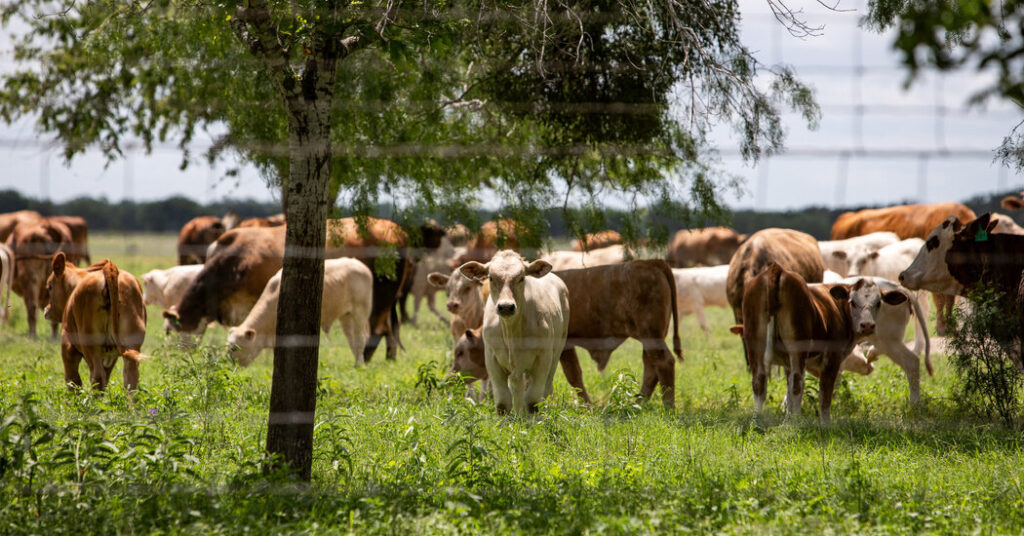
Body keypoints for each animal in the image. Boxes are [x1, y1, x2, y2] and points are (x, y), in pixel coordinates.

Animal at [42, 253, 146, 391]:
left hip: (90, 344)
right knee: (130, 376)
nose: (47, 309)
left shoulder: (67, 347)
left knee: (97, 376)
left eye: (49, 287)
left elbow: (73, 381)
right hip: (131, 344)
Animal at [227, 258, 372, 367]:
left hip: (360, 311)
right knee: (351, 339)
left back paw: (359, 365)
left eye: (234, 348)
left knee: (360, 339)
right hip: (346, 316)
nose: (230, 364)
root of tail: (359, 264)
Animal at [459, 250, 570, 415]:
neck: (512, 333)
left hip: (556, 352)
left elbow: (533, 401)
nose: (506, 306)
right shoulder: (492, 360)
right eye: (491, 277)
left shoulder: (543, 359)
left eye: (522, 277)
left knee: (546, 388)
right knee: (518, 388)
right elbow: (503, 403)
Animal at [735, 263, 906, 422]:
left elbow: (788, 391)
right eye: (853, 302)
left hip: (755, 348)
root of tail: (777, 270)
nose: (867, 326)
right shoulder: (832, 358)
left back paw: (758, 421)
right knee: (798, 384)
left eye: (878, 303)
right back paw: (795, 423)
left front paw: (788, 417)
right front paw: (825, 424)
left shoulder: (787, 362)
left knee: (759, 383)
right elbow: (825, 394)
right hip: (797, 348)